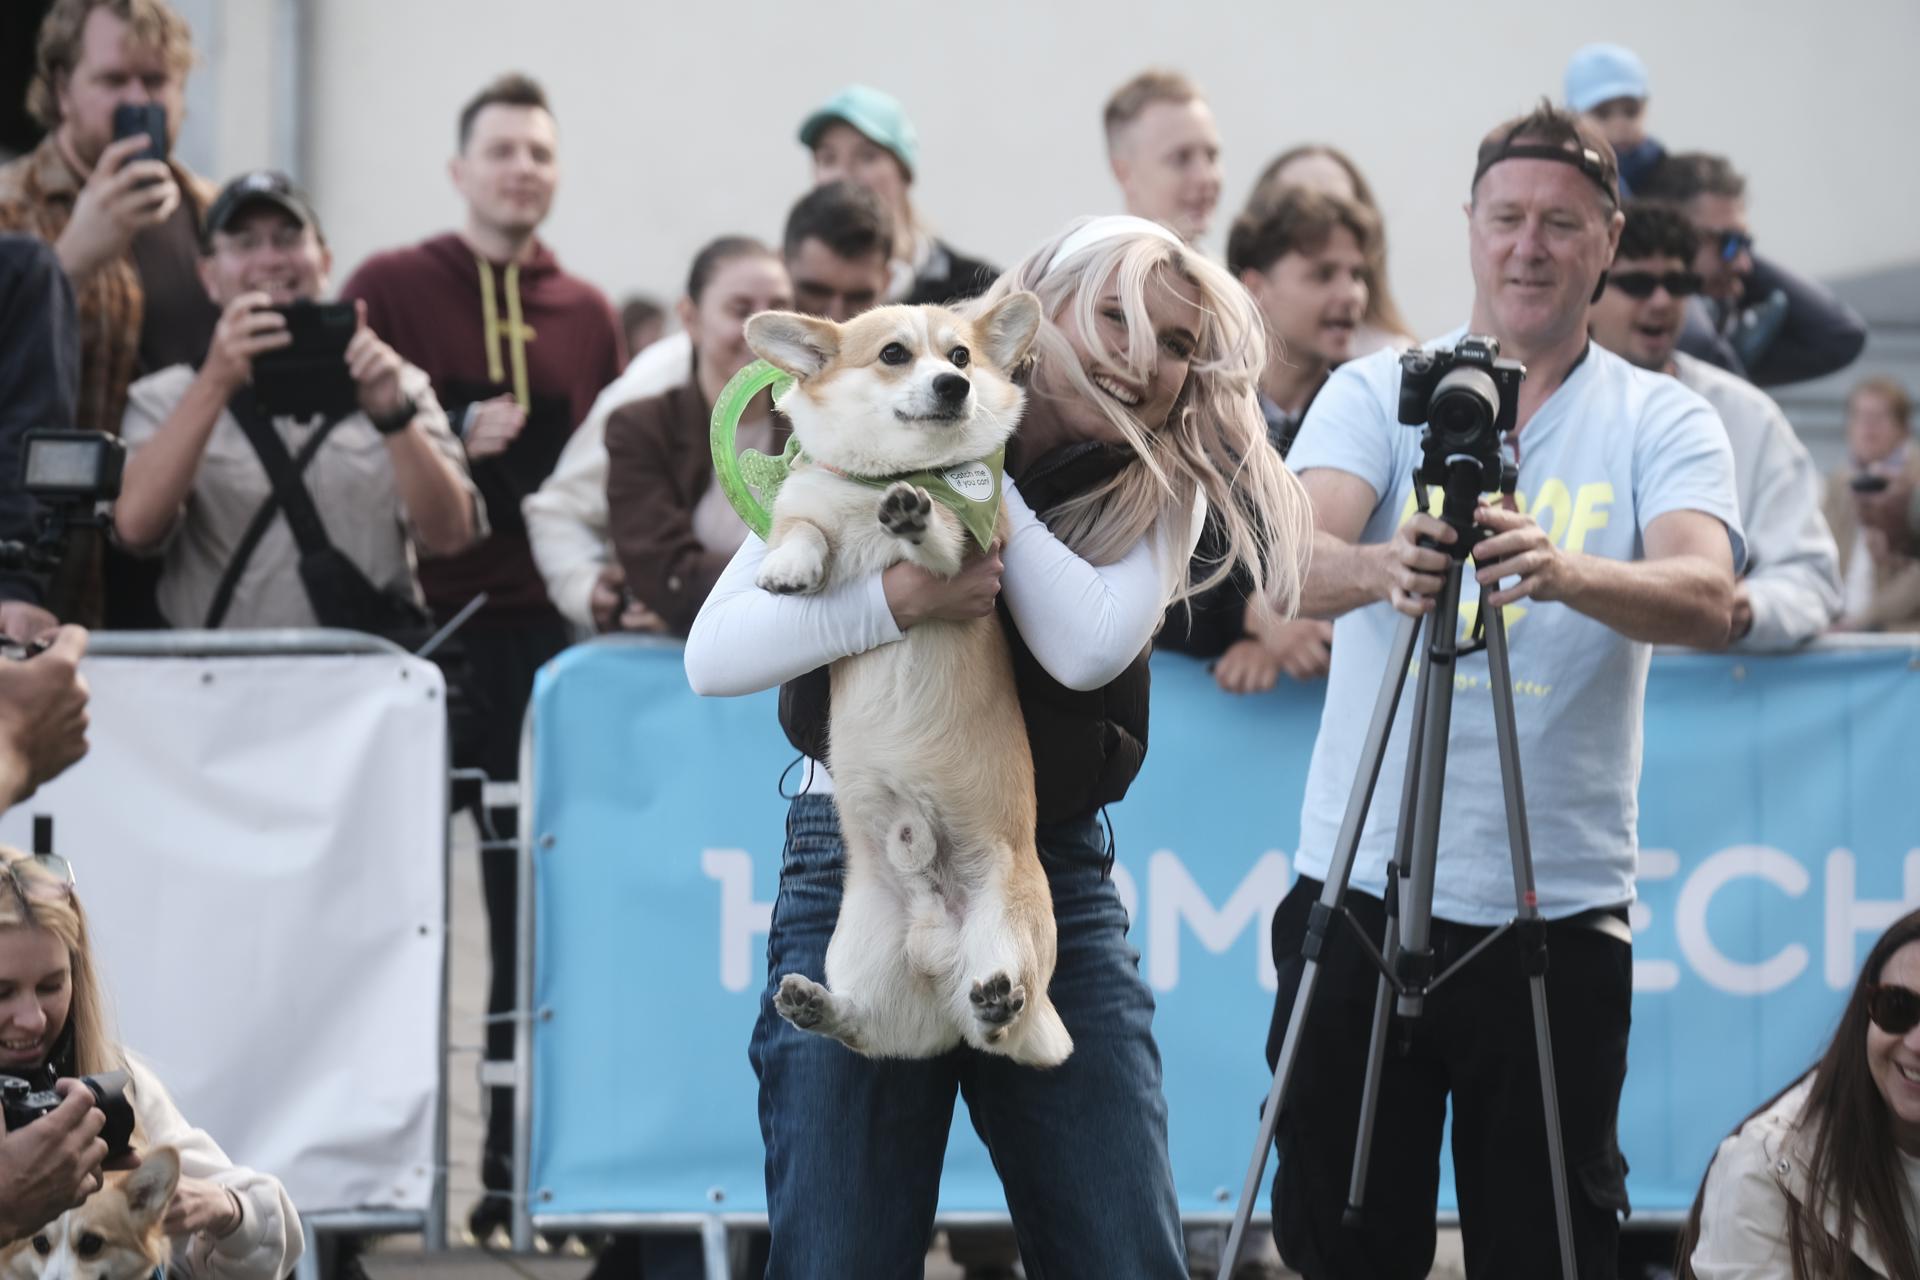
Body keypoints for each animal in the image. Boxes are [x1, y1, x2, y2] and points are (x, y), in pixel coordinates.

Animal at [744, 291, 1074, 1068]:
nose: (953, 386)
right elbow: (803, 531)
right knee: (866, 1028)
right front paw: (790, 568)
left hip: (1007, 924)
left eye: (960, 357)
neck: (881, 481)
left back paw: (996, 1005)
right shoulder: (804, 508)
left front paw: (914, 516)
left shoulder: (974, 549)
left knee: (998, 1022)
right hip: (859, 942)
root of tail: (938, 948)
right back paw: (818, 1004)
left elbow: (942, 539)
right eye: (894, 354)